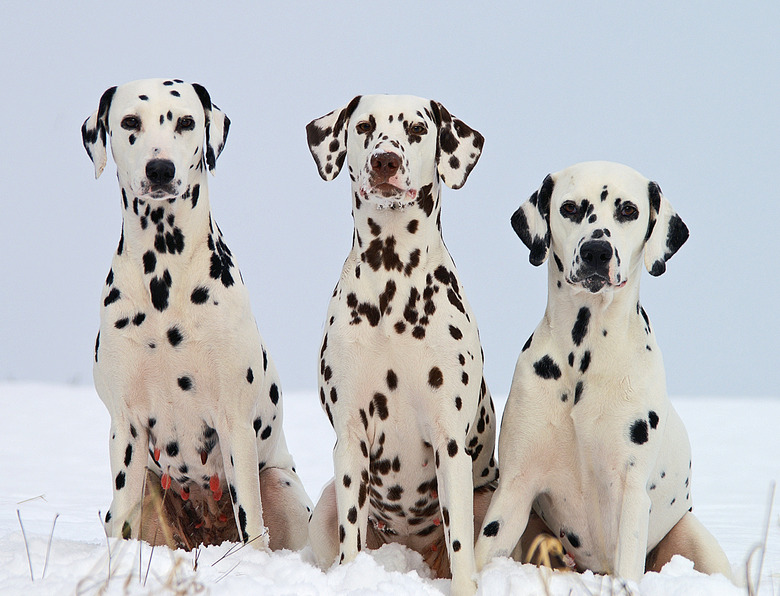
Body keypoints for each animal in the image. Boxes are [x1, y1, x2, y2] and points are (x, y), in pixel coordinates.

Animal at [80, 80, 310, 556]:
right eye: (129, 121)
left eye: (186, 121)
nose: (160, 168)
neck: (164, 281)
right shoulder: (125, 426)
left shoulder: (234, 421)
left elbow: (250, 517)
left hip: (280, 484)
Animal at [304, 95, 500, 592]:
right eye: (364, 126)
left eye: (416, 128)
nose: (385, 161)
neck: (392, 283)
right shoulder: (350, 439)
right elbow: (350, 536)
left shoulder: (450, 443)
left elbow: (460, 544)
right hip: (326, 506)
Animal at [472, 162, 736, 584]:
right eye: (569, 208)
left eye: (628, 210)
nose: (596, 250)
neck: (585, 354)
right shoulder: (514, 488)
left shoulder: (631, 493)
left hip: (694, 541)